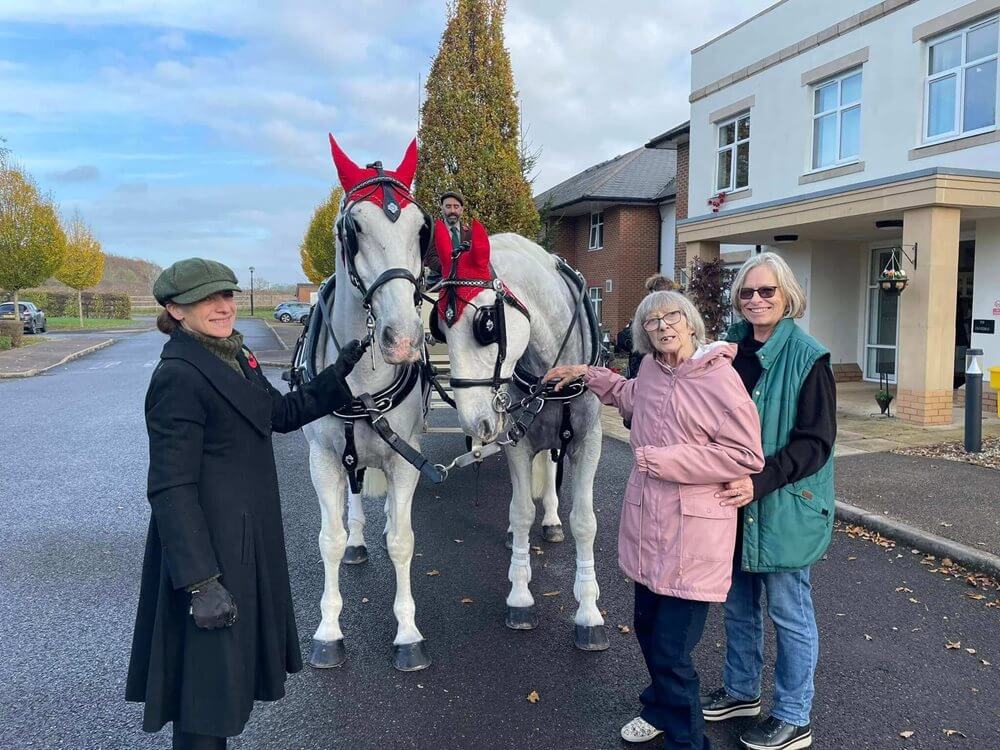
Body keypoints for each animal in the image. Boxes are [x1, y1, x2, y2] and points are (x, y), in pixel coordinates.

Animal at [440, 235, 608, 652]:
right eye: (440, 328)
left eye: (486, 324)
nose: (475, 422)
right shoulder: (516, 441)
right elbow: (519, 511)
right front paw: (519, 597)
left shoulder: (589, 442)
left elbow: (585, 522)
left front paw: (589, 613)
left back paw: (551, 520)